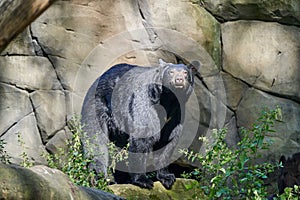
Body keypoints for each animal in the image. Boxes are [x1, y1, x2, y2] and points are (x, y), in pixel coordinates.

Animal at [82, 58, 198, 189]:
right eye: (171, 72)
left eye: (185, 73)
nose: (179, 80)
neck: (168, 101)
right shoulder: (146, 104)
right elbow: (142, 138)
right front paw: (143, 180)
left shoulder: (175, 115)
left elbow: (167, 142)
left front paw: (167, 177)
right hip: (97, 106)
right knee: (95, 140)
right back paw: (99, 177)